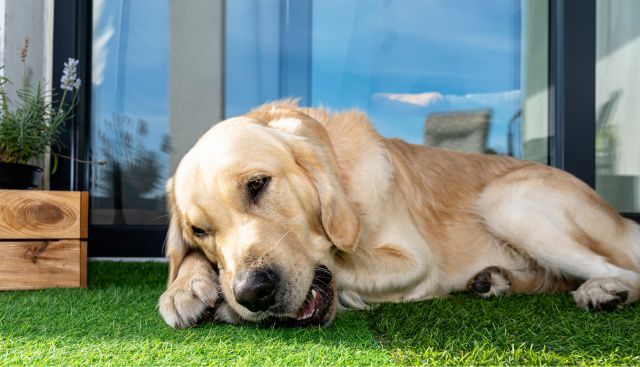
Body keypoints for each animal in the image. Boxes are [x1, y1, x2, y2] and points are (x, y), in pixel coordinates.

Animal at [159, 100, 640, 328]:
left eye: (258, 184)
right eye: (200, 230)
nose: (252, 293)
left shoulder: (414, 262)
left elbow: (342, 262)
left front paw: (226, 307)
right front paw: (185, 288)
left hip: (509, 203)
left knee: (626, 272)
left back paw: (603, 291)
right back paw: (495, 280)